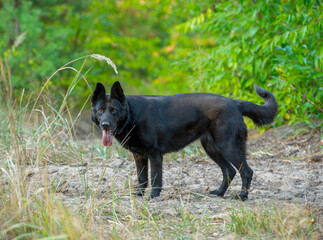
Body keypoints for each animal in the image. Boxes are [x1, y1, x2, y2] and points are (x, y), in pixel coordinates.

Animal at [91, 81, 278, 200]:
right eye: (100, 111)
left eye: (114, 111)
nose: (105, 124)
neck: (132, 115)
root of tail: (234, 103)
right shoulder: (139, 156)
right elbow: (142, 179)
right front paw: (138, 195)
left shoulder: (155, 154)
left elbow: (155, 178)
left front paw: (153, 197)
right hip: (212, 148)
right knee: (229, 171)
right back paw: (219, 193)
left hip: (228, 147)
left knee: (246, 171)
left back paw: (242, 196)